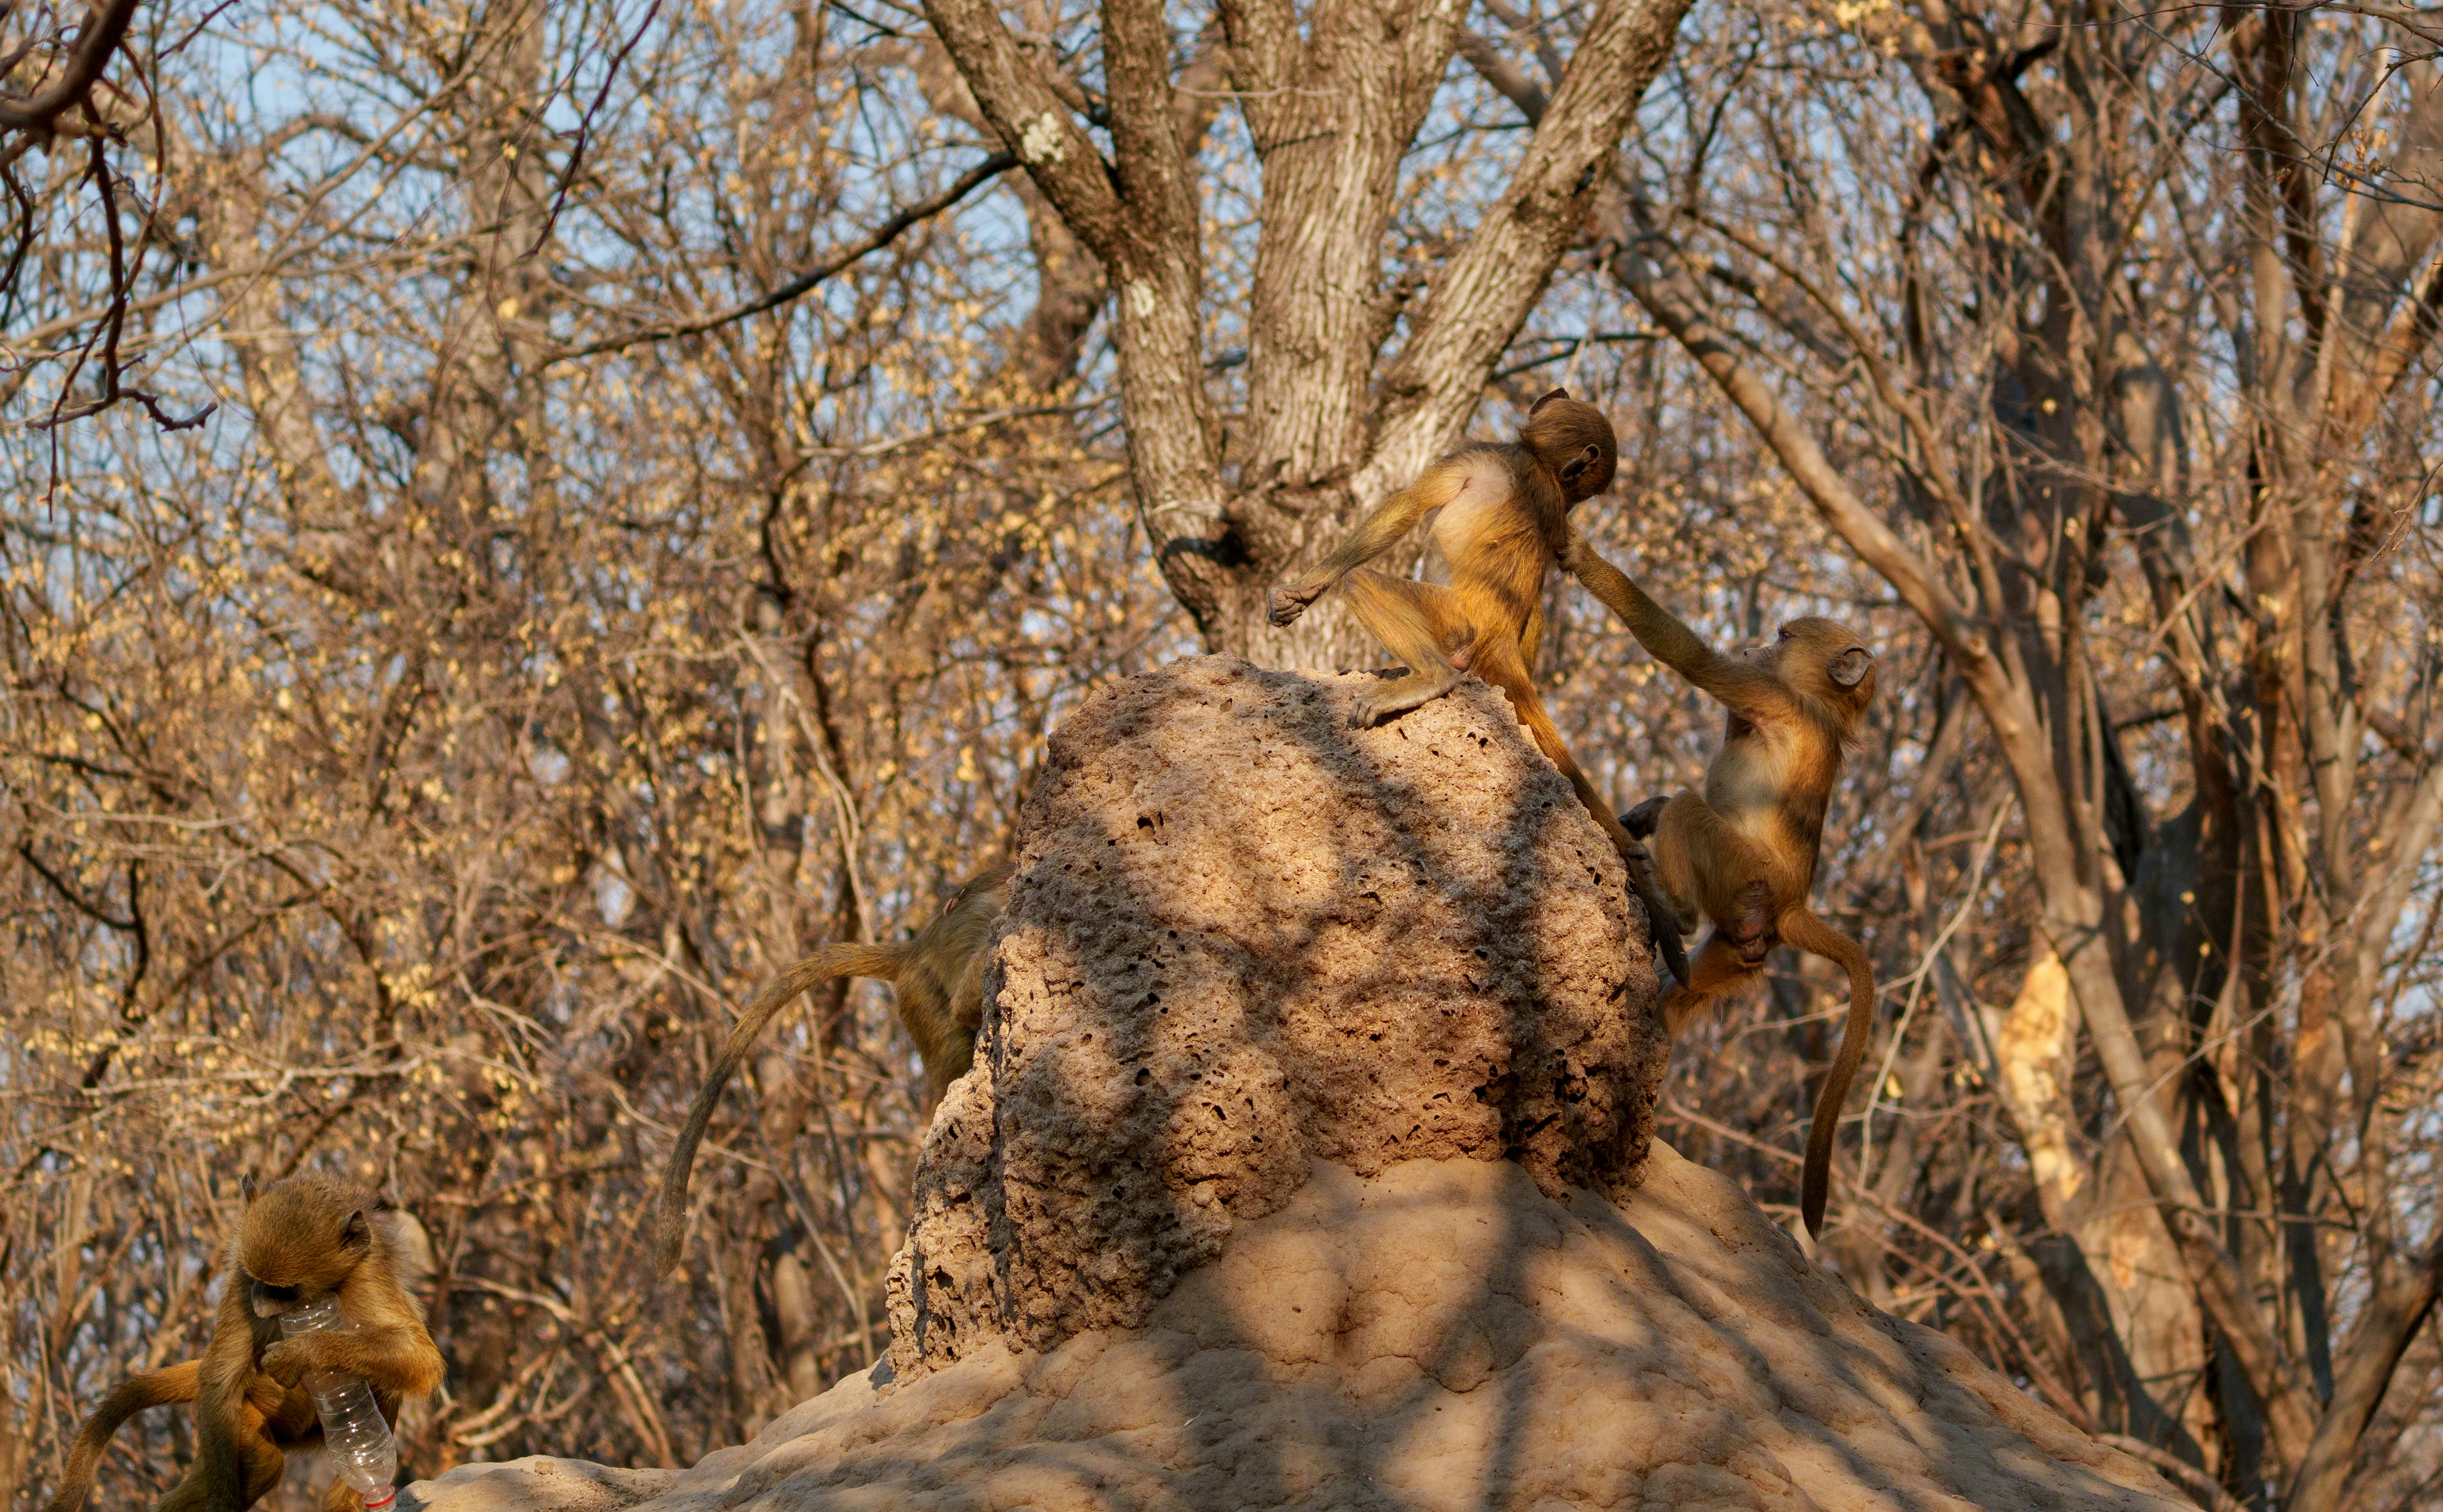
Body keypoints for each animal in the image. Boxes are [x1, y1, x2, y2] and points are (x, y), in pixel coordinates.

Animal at [46, 1175, 444, 1512]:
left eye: (285, 1290)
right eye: (260, 1283)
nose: (260, 1305)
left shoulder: (367, 1271)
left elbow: (419, 1357)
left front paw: (303, 1352)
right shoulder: (241, 1275)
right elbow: (222, 1379)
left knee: (384, 1384)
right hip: (257, 1409)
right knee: (262, 1460)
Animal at [1267, 389, 1691, 986]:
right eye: (1577, 496)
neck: (1537, 464)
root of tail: (1496, 636)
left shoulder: (1483, 453)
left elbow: (1408, 506)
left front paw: (1308, 586)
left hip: (1450, 619)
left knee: (1367, 582)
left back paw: (1430, 676)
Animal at [1568, 538, 1877, 1237]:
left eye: (1782, 636)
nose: (1752, 646)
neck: (1823, 705)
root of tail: (1793, 904)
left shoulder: (1771, 696)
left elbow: (1690, 658)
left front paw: (1573, 550)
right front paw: (1641, 813)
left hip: (1741, 875)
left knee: (1691, 810)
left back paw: (1672, 906)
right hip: (1741, 939)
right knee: (1676, 997)